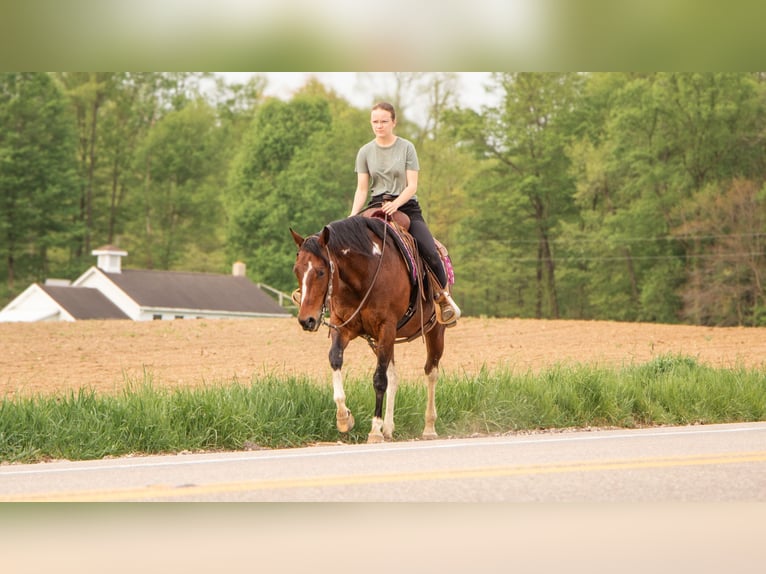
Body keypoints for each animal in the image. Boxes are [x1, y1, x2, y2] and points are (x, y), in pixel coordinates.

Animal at [294, 216, 450, 446]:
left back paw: (429, 427)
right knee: (394, 375)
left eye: (321, 272)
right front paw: (344, 418)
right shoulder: (344, 327)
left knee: (431, 372)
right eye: (296, 270)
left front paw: (374, 430)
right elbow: (335, 360)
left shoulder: (386, 327)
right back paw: (389, 427)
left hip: (435, 331)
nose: (307, 320)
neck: (364, 276)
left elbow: (379, 380)